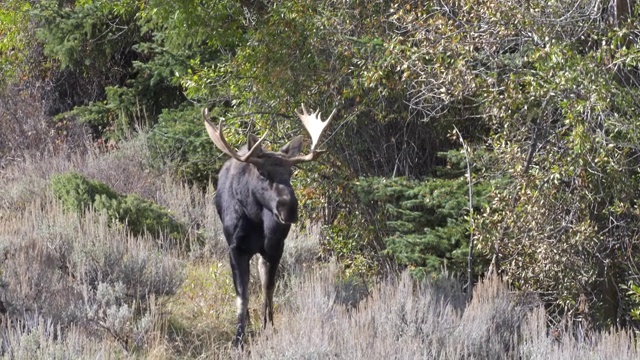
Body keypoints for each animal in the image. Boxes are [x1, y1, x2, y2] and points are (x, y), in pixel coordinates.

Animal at [204, 104, 336, 346]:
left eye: (291, 172)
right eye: (263, 173)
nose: (289, 208)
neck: (256, 220)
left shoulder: (275, 248)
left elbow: (268, 289)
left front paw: (269, 328)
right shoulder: (235, 248)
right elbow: (242, 294)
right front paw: (239, 338)